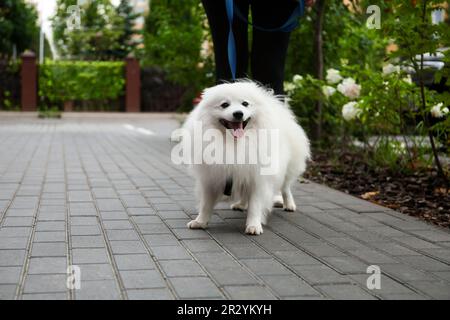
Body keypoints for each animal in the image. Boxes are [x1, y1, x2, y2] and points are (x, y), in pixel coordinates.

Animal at [178, 80, 310, 235]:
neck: (234, 143)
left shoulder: (258, 179)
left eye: (245, 104)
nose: (238, 113)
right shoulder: (212, 178)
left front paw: (253, 225)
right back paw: (241, 204)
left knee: (285, 188)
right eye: (225, 104)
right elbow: (206, 204)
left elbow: (255, 205)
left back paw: (289, 204)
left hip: (287, 169)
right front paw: (200, 222)